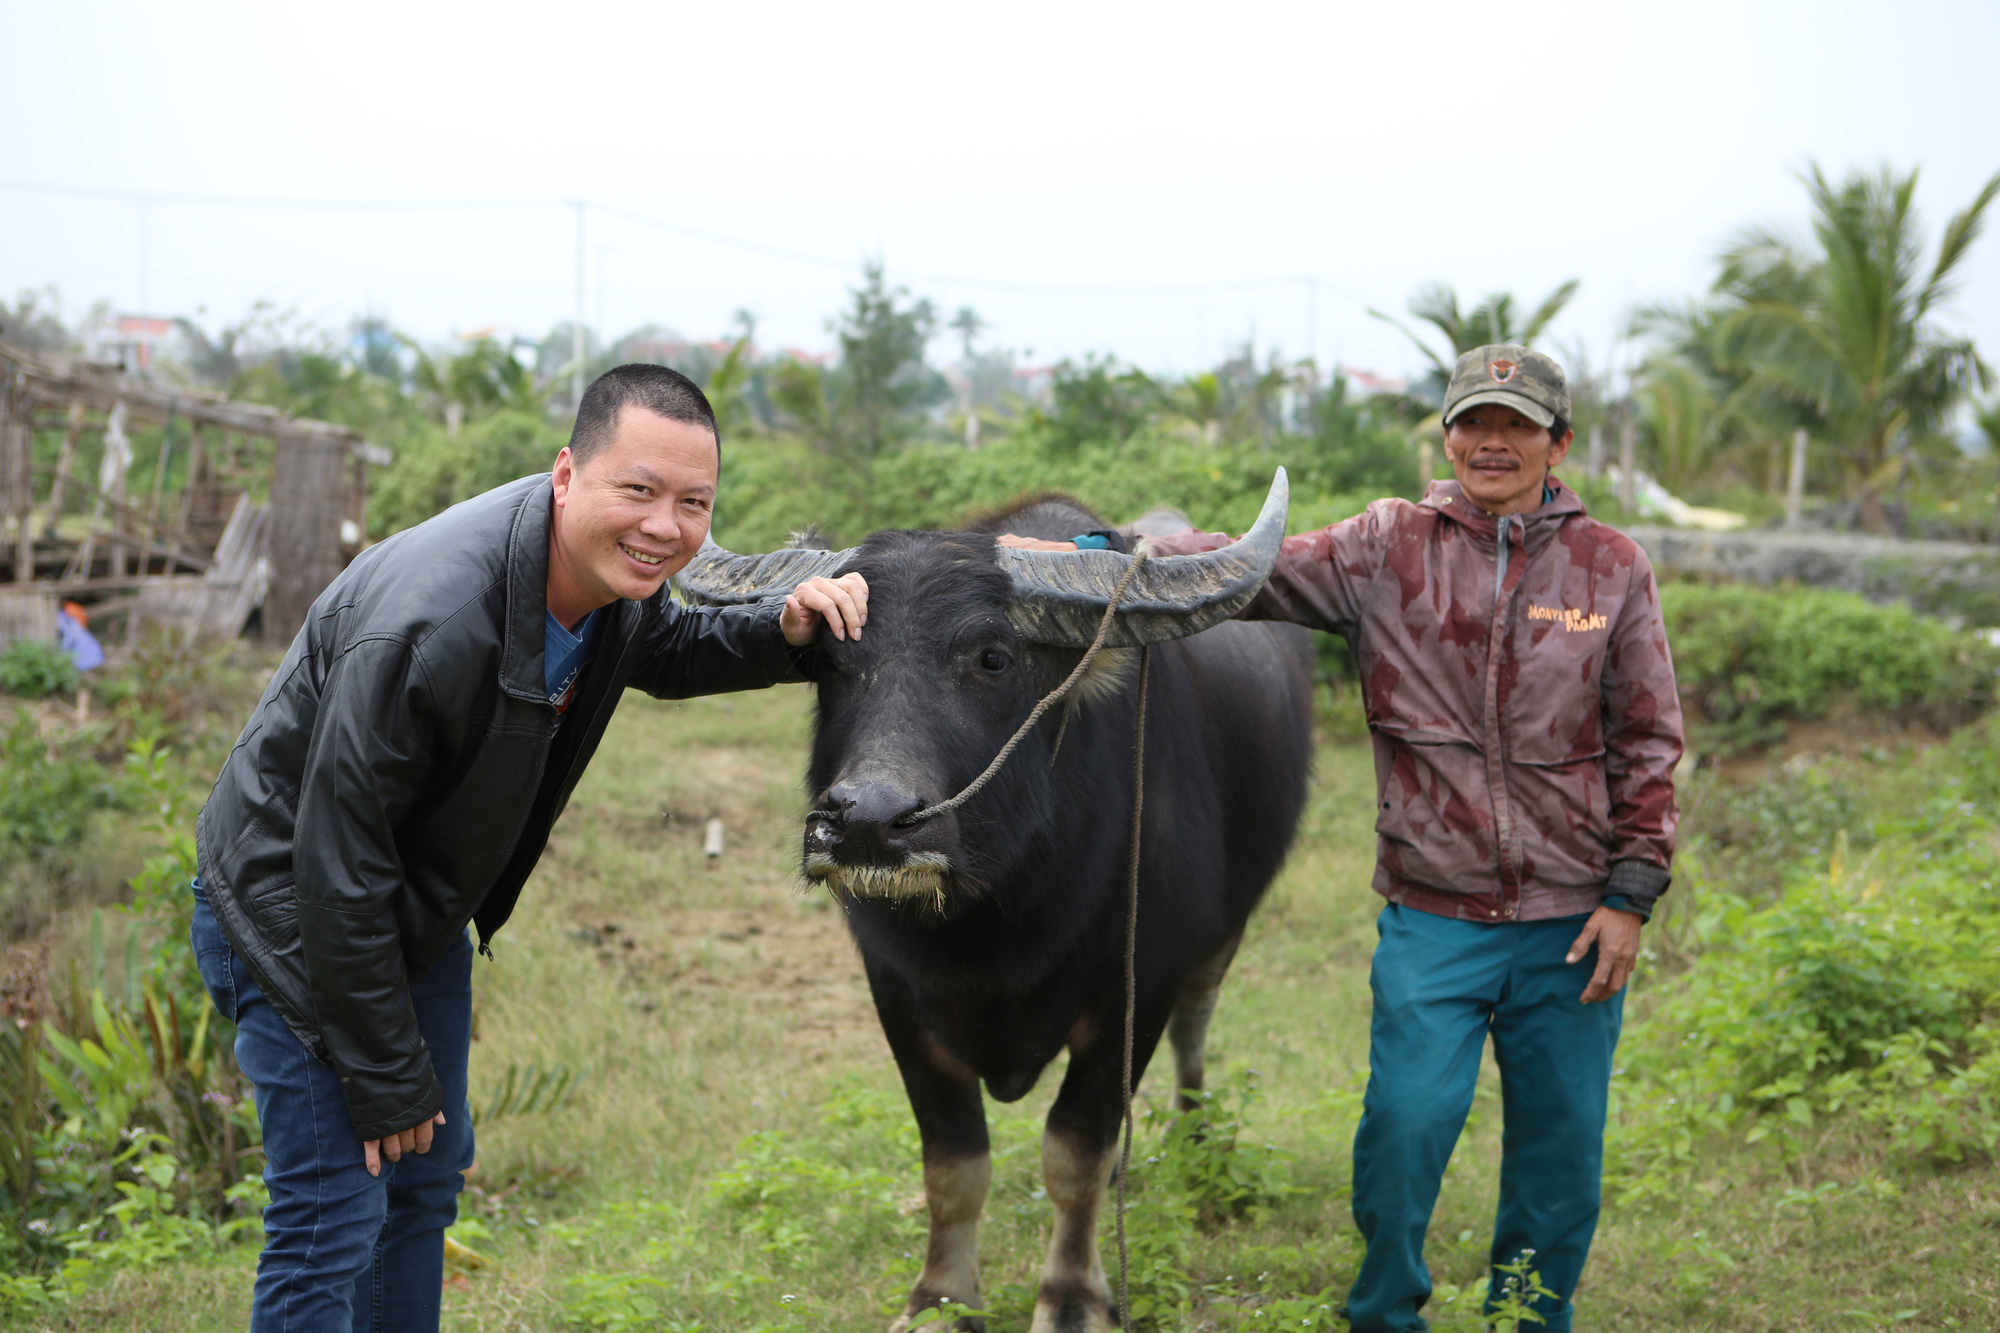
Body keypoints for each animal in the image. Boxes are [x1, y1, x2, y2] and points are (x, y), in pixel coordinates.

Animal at [680, 472, 1320, 1320]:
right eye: (828, 660)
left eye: (992, 657)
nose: (868, 821)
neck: (1006, 908)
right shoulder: (897, 994)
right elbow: (954, 1162)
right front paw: (941, 1299)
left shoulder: (1138, 983)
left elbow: (1074, 1152)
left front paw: (1074, 1297)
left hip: (1222, 936)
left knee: (1195, 1030)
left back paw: (1195, 1143)